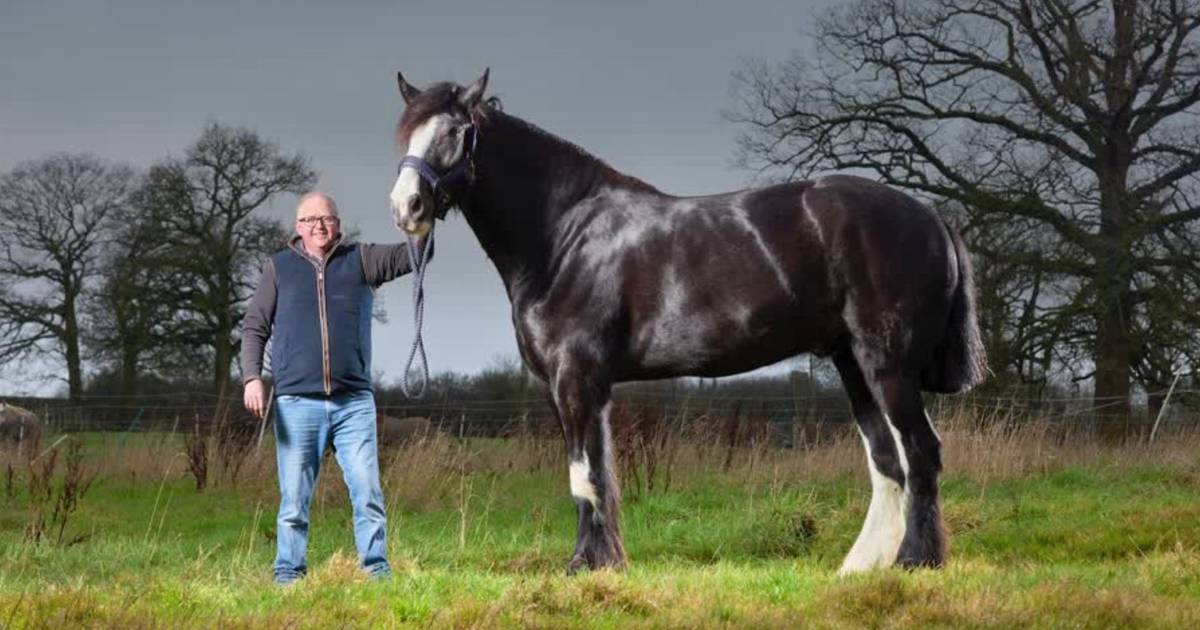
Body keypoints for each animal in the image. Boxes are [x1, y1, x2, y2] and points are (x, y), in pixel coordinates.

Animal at [387, 70, 987, 575]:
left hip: (887, 363)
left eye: (456, 131)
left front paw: (582, 566)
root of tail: (930, 215)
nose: (406, 207)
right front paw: (607, 563)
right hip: (853, 364)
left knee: (921, 453)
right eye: (407, 133)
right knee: (887, 463)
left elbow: (584, 475)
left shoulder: (575, 377)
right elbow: (598, 473)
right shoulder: (575, 387)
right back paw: (860, 567)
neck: (563, 236)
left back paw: (915, 561)